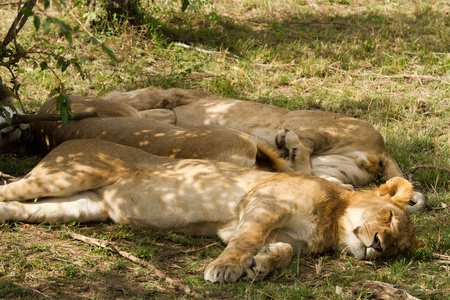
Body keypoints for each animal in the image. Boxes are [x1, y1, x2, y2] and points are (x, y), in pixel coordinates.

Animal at [0, 139, 422, 282]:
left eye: (397, 249)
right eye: (389, 218)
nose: (378, 246)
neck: (332, 224)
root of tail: (64, 143)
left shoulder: (274, 232)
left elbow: (283, 250)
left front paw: (261, 265)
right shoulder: (264, 203)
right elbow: (247, 240)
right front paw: (226, 269)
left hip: (79, 206)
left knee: (18, 205)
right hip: (70, 175)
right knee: (9, 188)